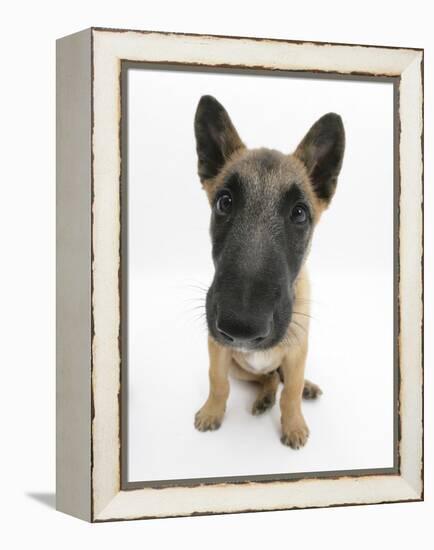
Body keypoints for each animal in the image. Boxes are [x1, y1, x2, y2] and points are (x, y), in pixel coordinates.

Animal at [193, 96, 346, 448]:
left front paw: (293, 424)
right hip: (241, 368)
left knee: (284, 380)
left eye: (299, 214)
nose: (241, 327)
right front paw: (212, 411)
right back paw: (264, 397)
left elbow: (290, 392)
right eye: (224, 202)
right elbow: (217, 382)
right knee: (266, 379)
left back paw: (305, 388)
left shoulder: (297, 352)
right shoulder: (218, 351)